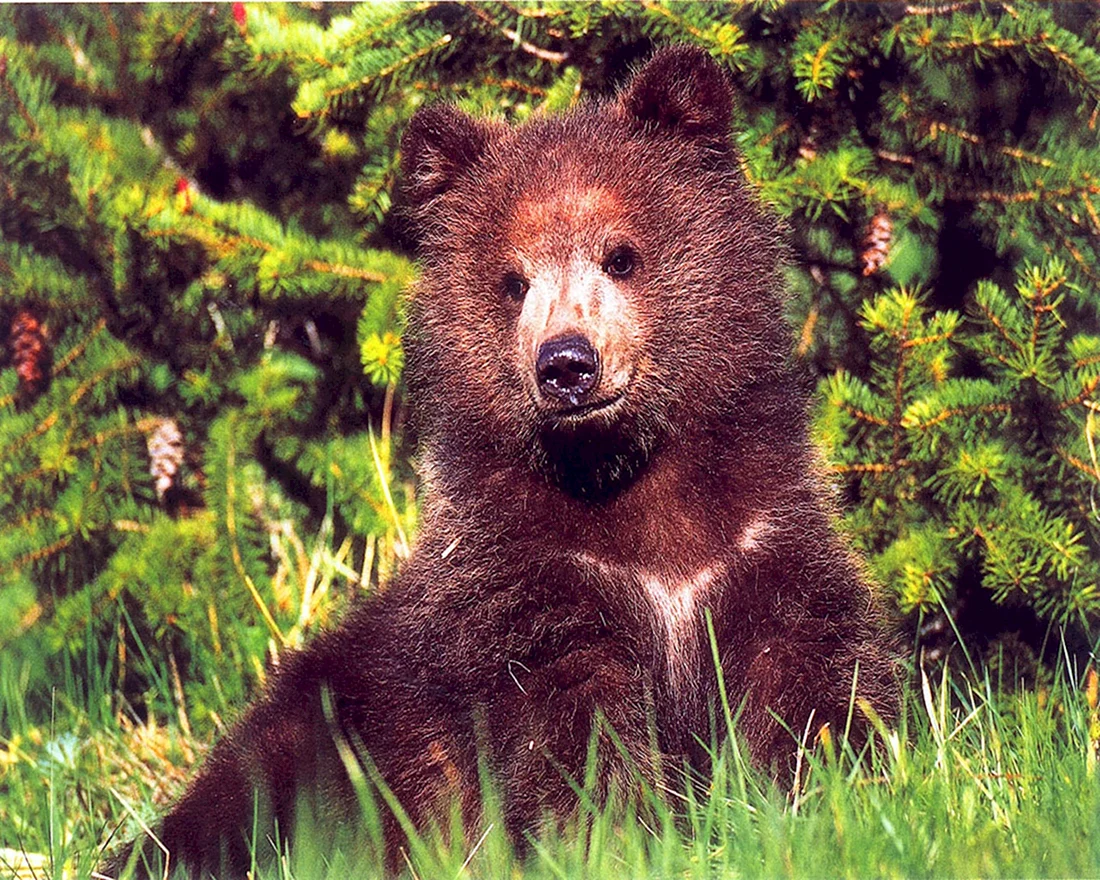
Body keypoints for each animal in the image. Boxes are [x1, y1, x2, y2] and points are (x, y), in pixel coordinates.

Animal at [105, 46, 897, 879]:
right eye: (513, 280)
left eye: (621, 255)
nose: (567, 364)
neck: (628, 480)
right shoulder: (519, 581)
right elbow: (572, 731)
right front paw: (611, 838)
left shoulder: (758, 537)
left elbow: (811, 678)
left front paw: (823, 804)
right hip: (327, 718)